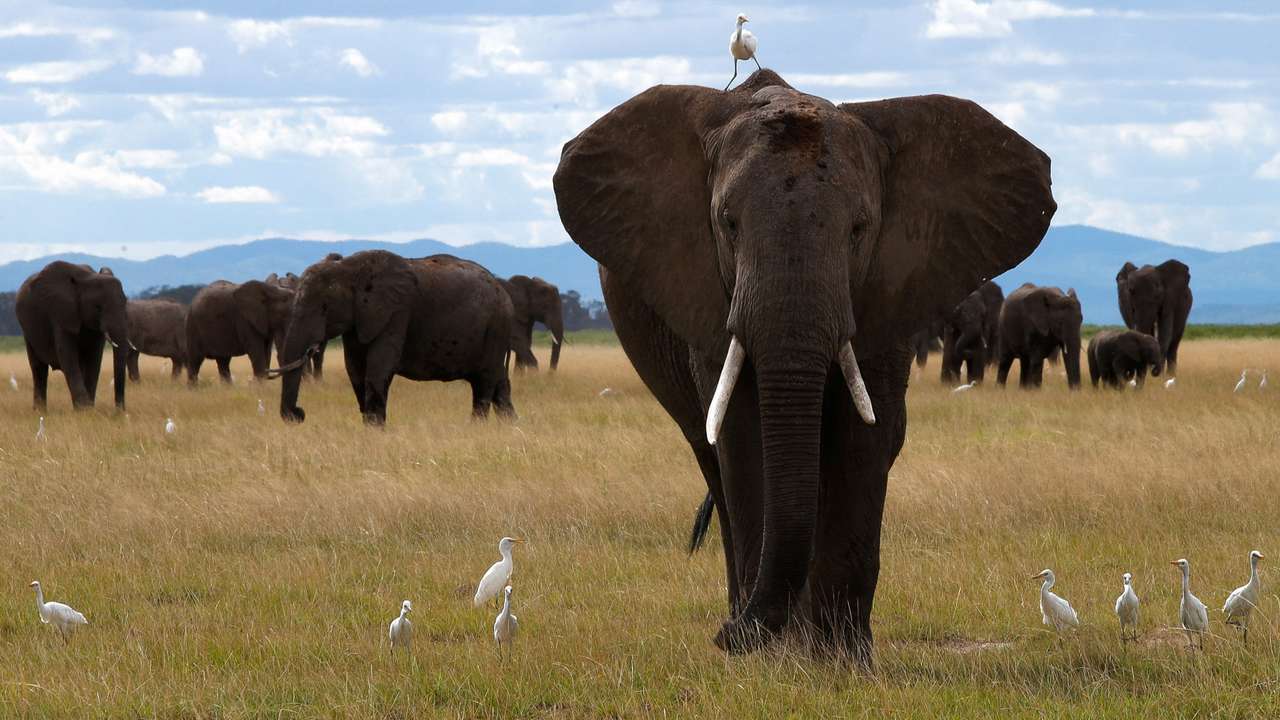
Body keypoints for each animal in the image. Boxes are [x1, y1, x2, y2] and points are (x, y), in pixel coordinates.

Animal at [16, 261, 130, 411]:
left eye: (125, 302)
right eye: (98, 307)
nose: (118, 412)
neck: (87, 279)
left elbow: (94, 358)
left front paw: (88, 409)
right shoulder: (60, 313)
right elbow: (67, 355)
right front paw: (84, 410)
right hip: (27, 330)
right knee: (38, 368)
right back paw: (40, 411)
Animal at [276, 250, 517, 425]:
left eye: (324, 307)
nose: (299, 414)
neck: (350, 268)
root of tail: (502, 289)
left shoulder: (396, 313)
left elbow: (378, 369)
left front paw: (375, 430)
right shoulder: (359, 321)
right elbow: (355, 370)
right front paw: (370, 428)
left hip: (496, 326)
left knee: (484, 382)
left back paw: (478, 427)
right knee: (499, 383)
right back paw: (511, 427)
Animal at [552, 70, 1055, 659]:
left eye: (859, 229)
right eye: (728, 223)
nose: (725, 636)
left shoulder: (892, 289)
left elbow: (863, 438)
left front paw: (843, 659)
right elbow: (745, 436)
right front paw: (770, 657)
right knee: (712, 459)